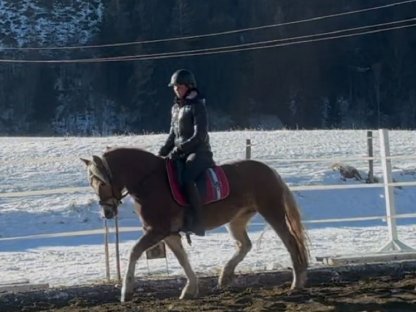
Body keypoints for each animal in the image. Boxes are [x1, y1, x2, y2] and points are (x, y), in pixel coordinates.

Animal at [81, 147, 308, 304]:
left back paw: (297, 282)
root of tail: (270, 170)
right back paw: (225, 276)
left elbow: (134, 252)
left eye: (102, 182)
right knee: (245, 245)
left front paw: (126, 292)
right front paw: (190, 289)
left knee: (290, 242)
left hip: (272, 212)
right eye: (91, 183)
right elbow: (182, 259)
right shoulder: (168, 234)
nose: (107, 213)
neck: (149, 182)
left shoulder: (157, 231)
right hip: (236, 220)